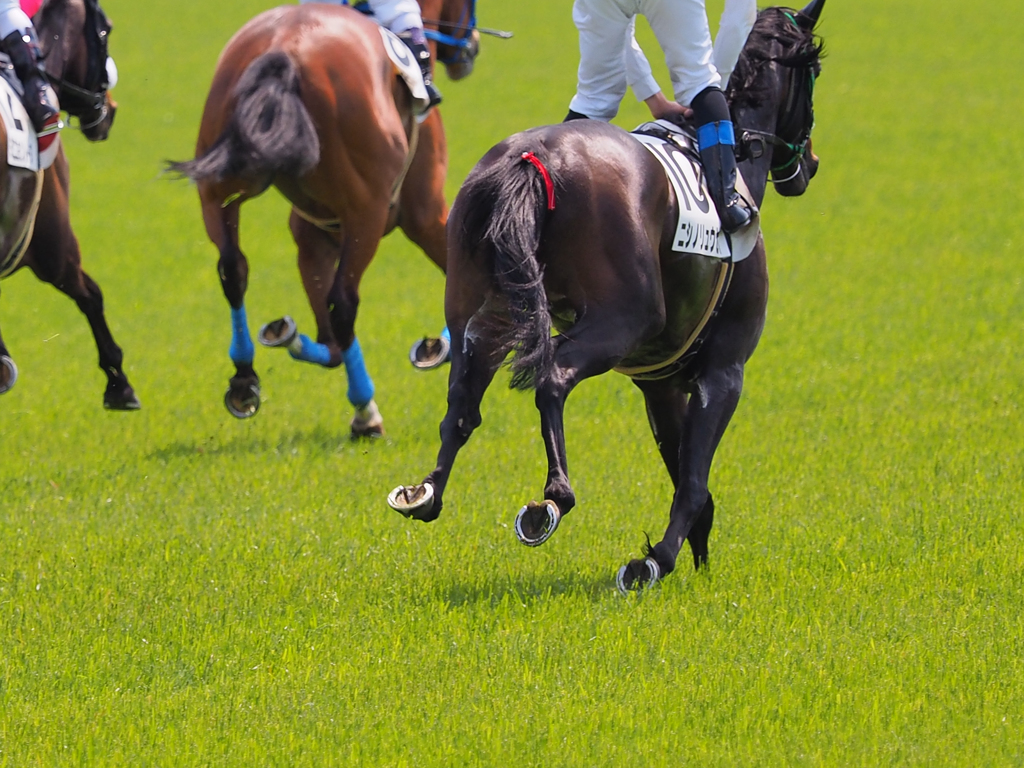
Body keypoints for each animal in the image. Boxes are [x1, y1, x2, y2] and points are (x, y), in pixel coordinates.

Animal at [168, 0, 483, 436]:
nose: (473, 44)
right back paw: (366, 410)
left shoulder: (315, 235)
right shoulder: (425, 215)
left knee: (233, 270)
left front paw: (290, 338)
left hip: (219, 191)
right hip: (366, 216)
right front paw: (445, 348)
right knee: (343, 303)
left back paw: (246, 376)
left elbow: (330, 341)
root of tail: (285, 47)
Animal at [387, 0, 827, 593]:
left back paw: (426, 492)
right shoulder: (724, 370)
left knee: (462, 399)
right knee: (552, 376)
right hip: (622, 320)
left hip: (482, 311)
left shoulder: (659, 382)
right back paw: (551, 501)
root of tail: (532, 158)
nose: (809, 166)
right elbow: (693, 480)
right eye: (816, 73)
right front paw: (657, 559)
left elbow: (685, 473)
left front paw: (695, 557)